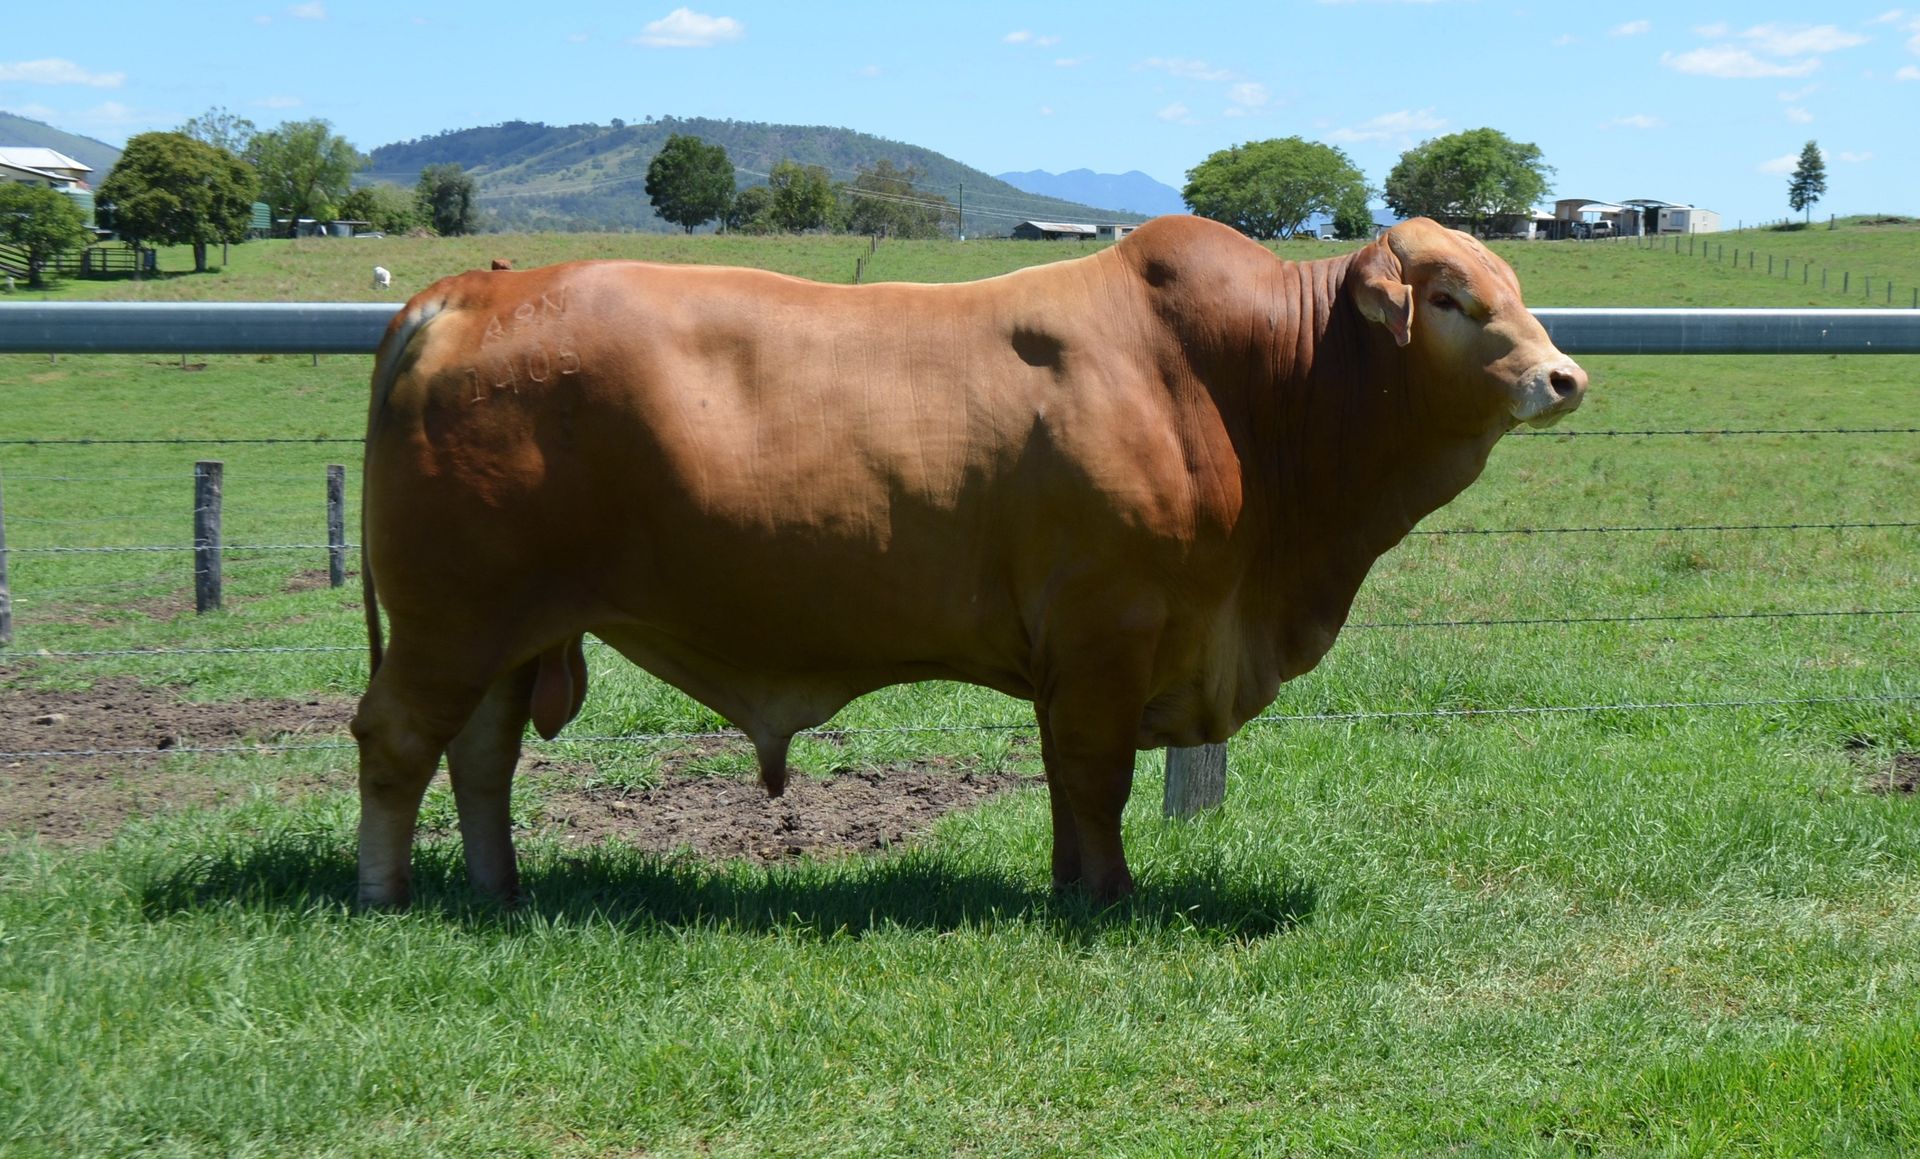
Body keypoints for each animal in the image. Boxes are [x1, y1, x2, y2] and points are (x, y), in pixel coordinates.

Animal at [351, 215, 1586, 909]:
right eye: (1454, 299)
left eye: (1517, 288)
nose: (1563, 376)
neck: (1241, 386)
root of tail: (469, 291)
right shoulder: (1110, 631)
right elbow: (1097, 778)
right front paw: (1111, 898)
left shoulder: (1075, 657)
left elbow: (1065, 783)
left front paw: (1069, 886)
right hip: (451, 619)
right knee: (398, 741)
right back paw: (385, 895)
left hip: (510, 630)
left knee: (482, 755)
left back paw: (500, 891)